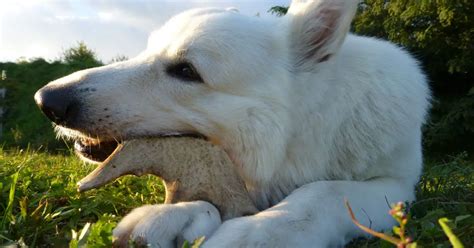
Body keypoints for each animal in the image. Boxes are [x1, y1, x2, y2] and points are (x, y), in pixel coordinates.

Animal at [35, 0, 432, 246]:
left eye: (186, 71)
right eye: (146, 52)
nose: (46, 101)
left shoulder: (396, 185)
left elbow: (325, 192)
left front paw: (258, 233)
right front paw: (177, 215)